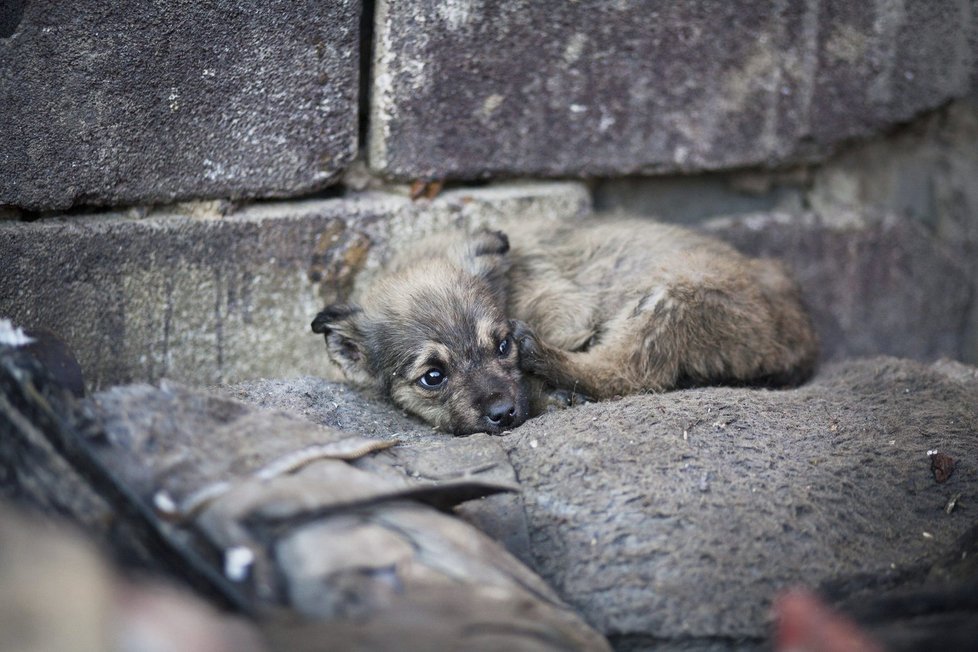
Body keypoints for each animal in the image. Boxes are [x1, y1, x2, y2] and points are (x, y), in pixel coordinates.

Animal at [310, 216, 816, 436]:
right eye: (433, 377)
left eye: (502, 347)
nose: (503, 414)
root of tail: (800, 337)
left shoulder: (571, 311)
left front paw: (541, 385)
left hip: (676, 292)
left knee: (628, 374)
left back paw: (549, 362)